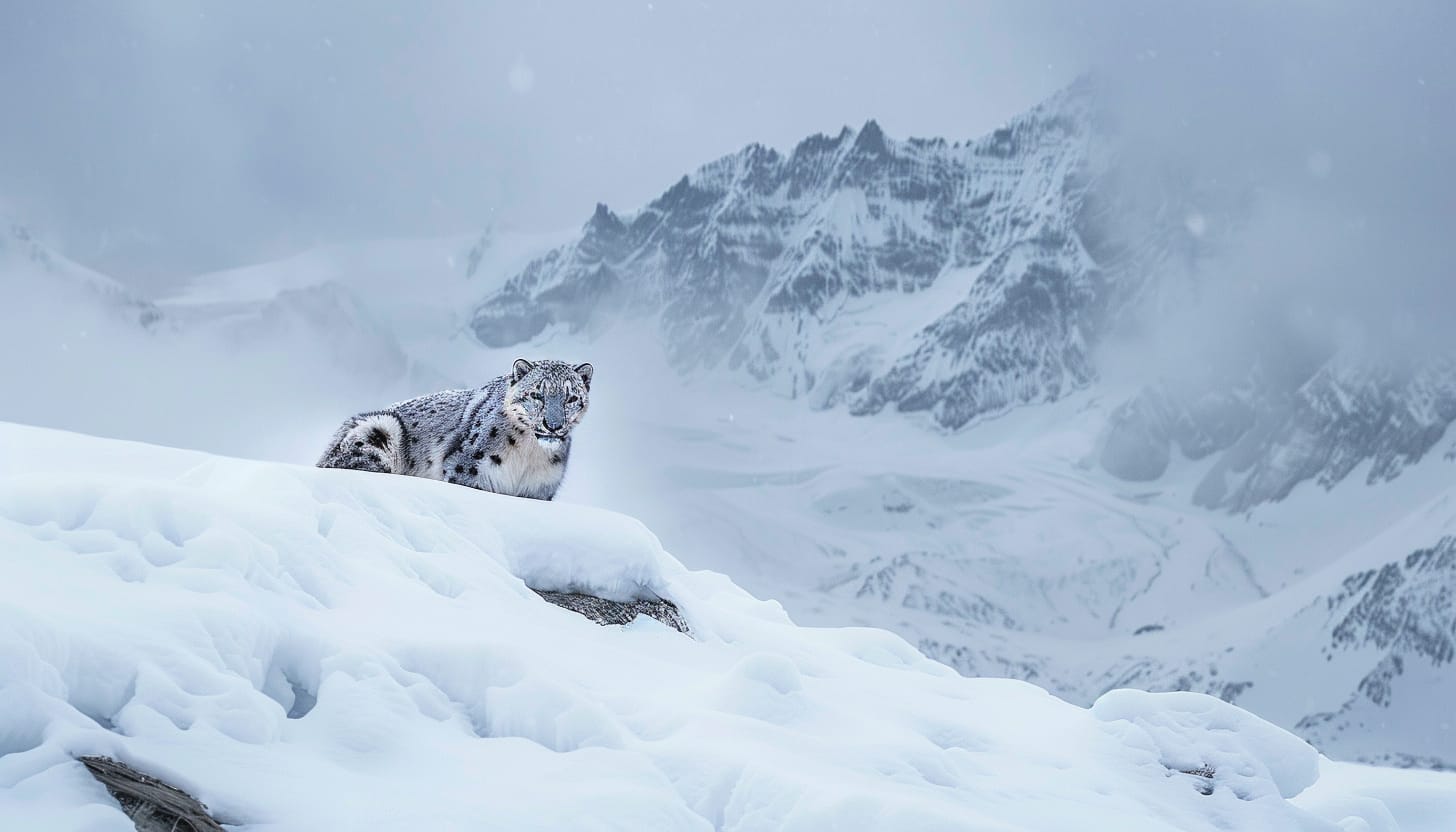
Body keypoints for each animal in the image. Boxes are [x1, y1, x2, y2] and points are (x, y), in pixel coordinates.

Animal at [317, 358, 591, 501]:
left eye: (571, 398)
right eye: (536, 394)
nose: (553, 425)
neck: (528, 456)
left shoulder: (539, 491)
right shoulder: (467, 470)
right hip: (379, 430)